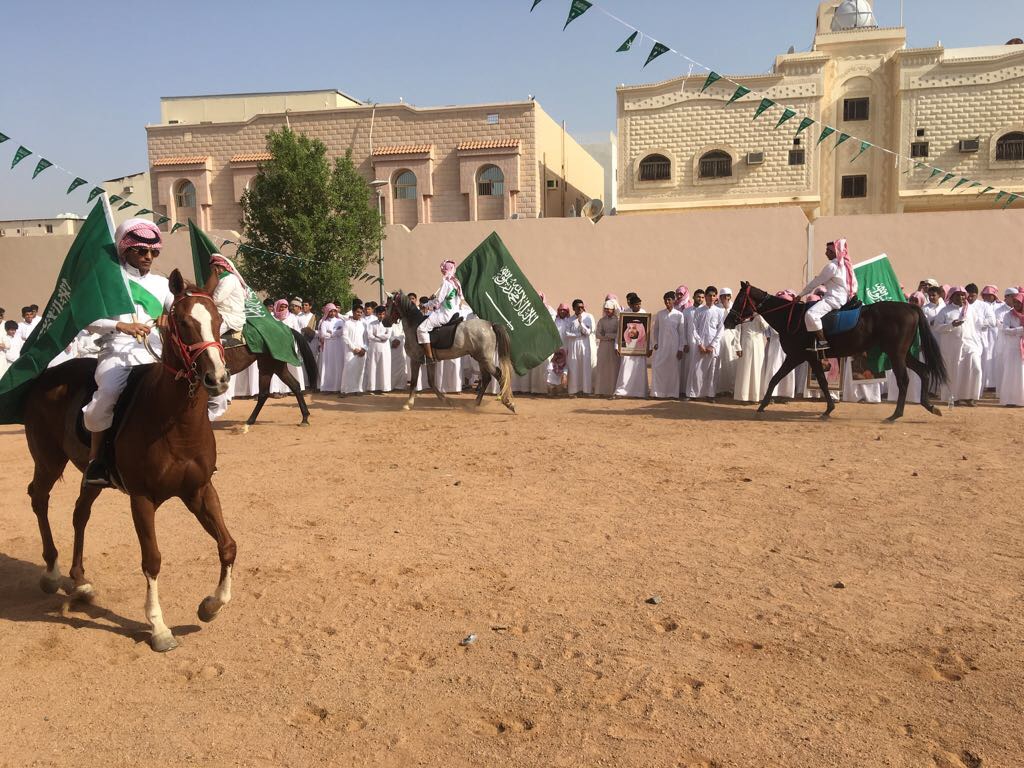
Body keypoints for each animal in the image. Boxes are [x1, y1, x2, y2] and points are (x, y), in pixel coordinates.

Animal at [24, 268, 235, 651]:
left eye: (218, 321)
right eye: (183, 322)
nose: (218, 378)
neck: (173, 422)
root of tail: (46, 376)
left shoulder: (199, 490)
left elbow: (227, 546)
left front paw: (211, 606)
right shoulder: (142, 499)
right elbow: (152, 560)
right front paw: (159, 628)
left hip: (90, 477)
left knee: (79, 514)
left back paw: (80, 581)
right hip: (48, 460)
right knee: (39, 498)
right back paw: (52, 572)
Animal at [380, 290, 516, 415]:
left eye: (388, 305)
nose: (384, 322)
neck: (415, 325)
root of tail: (490, 325)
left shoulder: (415, 360)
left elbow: (413, 382)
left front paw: (408, 404)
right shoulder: (430, 362)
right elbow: (431, 382)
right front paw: (446, 401)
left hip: (485, 359)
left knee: (499, 374)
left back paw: (508, 403)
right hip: (480, 359)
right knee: (487, 378)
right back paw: (475, 403)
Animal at [724, 286, 946, 423]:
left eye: (740, 299)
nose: (728, 321)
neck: (792, 318)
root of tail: (910, 306)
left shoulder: (799, 357)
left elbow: (777, 379)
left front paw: (762, 406)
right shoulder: (808, 358)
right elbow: (818, 382)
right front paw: (828, 408)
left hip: (896, 354)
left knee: (904, 380)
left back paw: (895, 415)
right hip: (902, 354)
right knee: (923, 371)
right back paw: (929, 406)